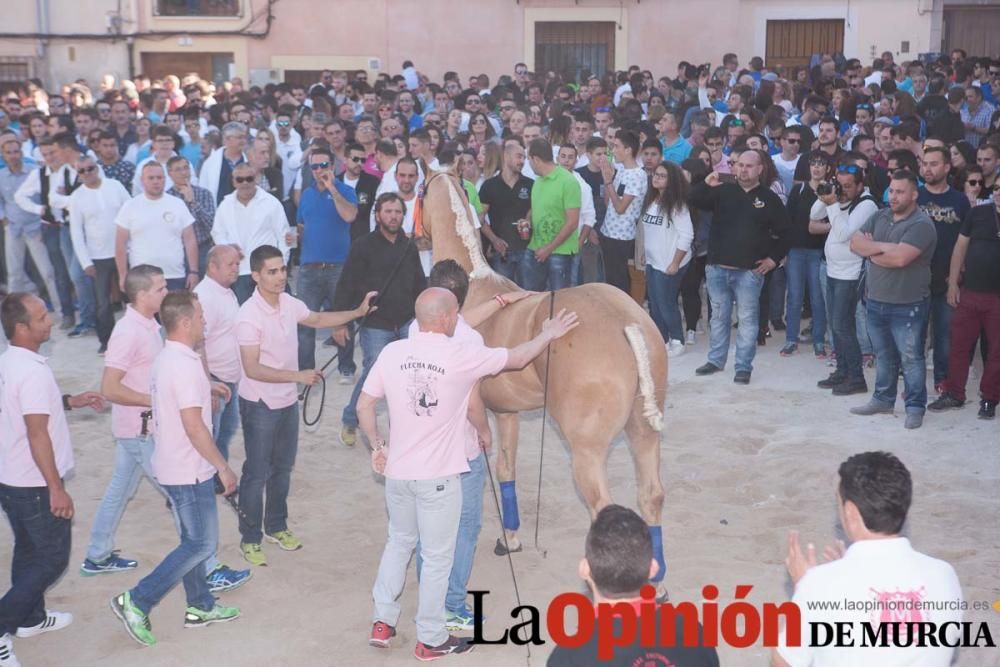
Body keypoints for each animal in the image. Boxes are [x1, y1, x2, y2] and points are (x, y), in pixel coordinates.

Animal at [418, 172, 668, 588]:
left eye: (417, 191)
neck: (471, 293)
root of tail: (628, 323)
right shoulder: (507, 413)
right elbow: (506, 470)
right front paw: (512, 539)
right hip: (643, 436)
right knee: (652, 497)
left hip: (587, 453)